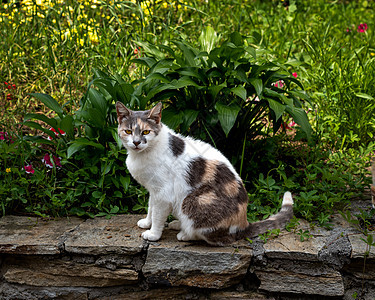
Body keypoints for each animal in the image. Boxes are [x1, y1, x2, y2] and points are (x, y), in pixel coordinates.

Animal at [116, 101, 296, 246]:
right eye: (128, 131)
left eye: (146, 132)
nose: (136, 142)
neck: (141, 155)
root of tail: (244, 224)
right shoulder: (154, 189)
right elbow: (150, 207)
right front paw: (147, 222)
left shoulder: (163, 193)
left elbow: (158, 214)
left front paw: (153, 234)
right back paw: (177, 224)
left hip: (193, 201)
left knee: (214, 238)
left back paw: (184, 234)